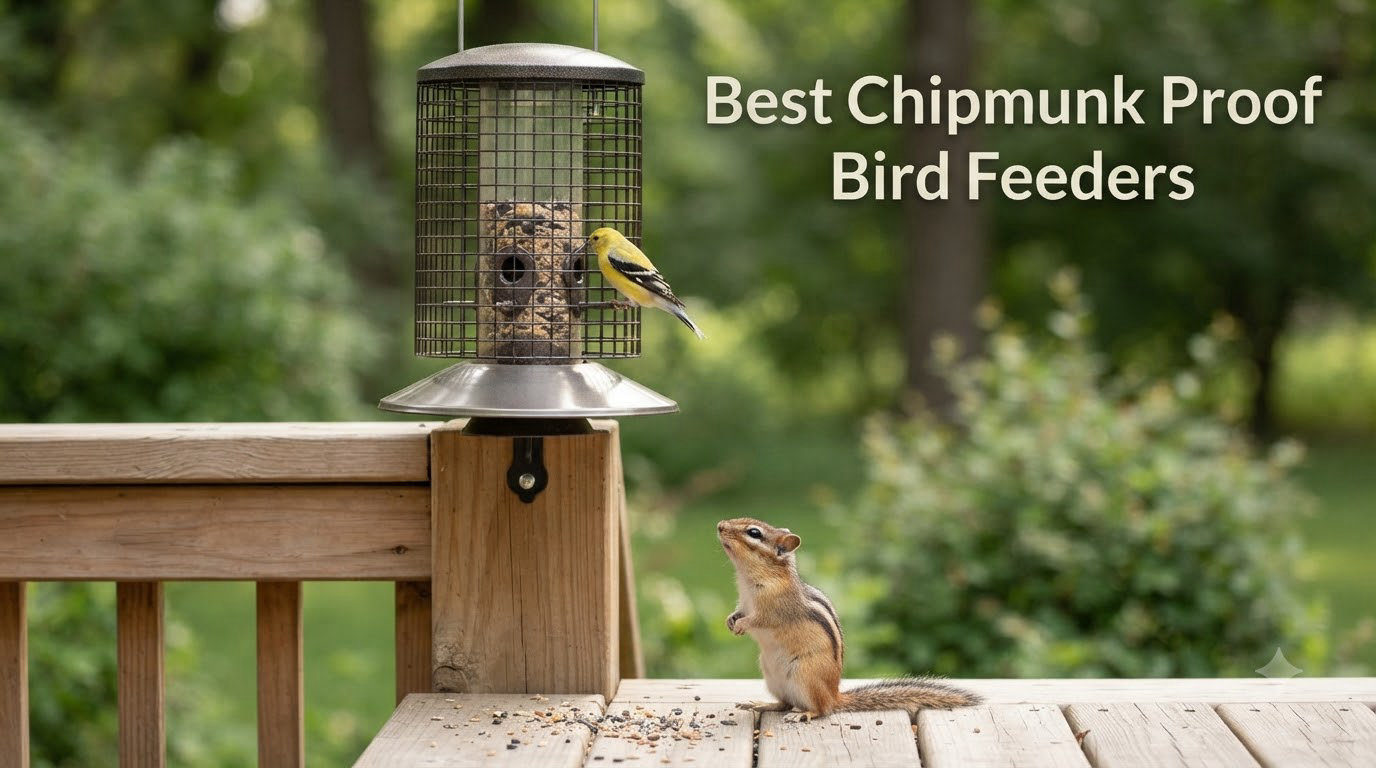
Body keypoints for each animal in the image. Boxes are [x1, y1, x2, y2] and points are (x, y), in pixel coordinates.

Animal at [717, 517, 981, 721]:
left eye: (754, 532)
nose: (720, 525)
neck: (749, 579)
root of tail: (835, 694)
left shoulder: (776, 608)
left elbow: (760, 620)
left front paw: (742, 625)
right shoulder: (744, 602)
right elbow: (739, 611)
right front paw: (731, 620)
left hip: (806, 675)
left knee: (821, 709)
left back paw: (806, 713)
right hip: (772, 677)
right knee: (784, 703)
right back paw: (763, 704)